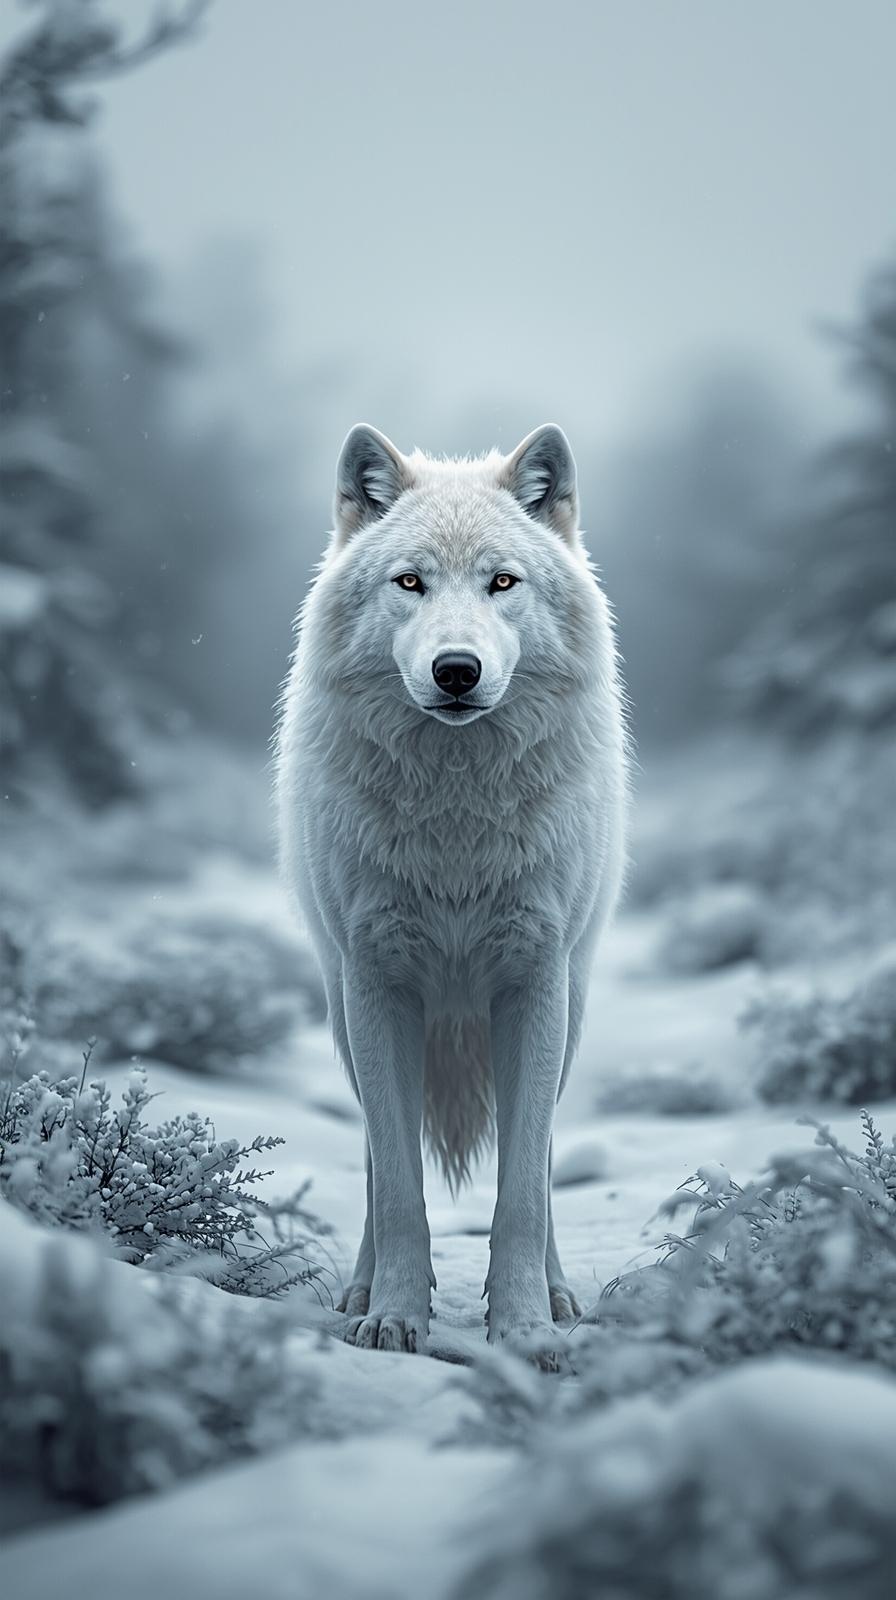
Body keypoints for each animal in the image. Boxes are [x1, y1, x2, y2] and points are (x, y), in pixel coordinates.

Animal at [275, 422, 628, 1355]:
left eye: (501, 581)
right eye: (411, 582)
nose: (457, 670)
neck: (456, 819)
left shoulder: (535, 985)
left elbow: (522, 1193)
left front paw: (527, 1328)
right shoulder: (378, 986)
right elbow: (399, 1186)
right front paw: (397, 1315)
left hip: (570, 1013)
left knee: (540, 1161)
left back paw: (559, 1294)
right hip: (344, 1015)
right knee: (373, 1159)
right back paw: (361, 1291)